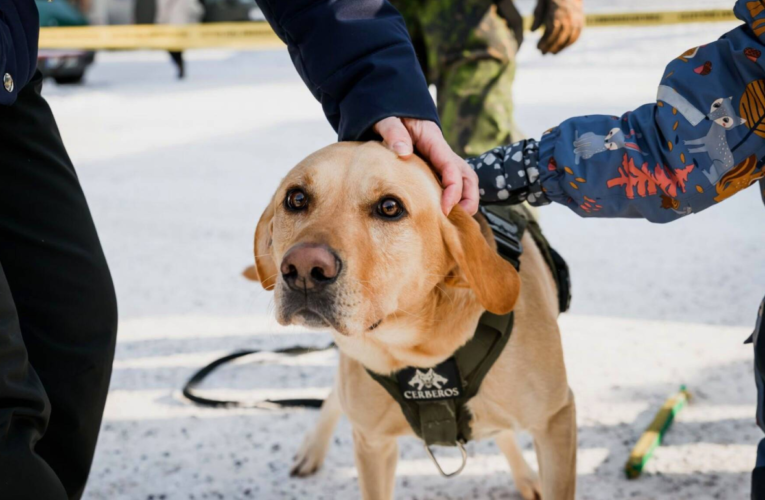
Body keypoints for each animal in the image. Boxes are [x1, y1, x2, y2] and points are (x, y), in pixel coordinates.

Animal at [248, 143, 576, 498]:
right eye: (296, 198)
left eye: (390, 207)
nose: (305, 269)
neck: (416, 350)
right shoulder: (372, 445)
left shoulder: (556, 420)